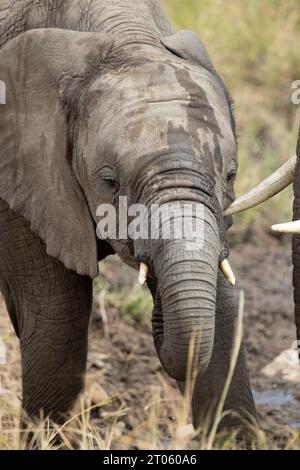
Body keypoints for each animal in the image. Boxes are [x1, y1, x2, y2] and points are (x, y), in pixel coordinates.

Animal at [0, 0, 258, 432]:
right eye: (109, 181)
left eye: (231, 175)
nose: (156, 317)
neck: (126, 38)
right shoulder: (21, 170)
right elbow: (58, 313)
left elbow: (221, 314)